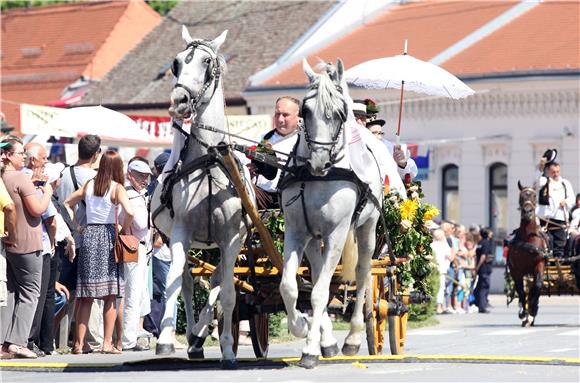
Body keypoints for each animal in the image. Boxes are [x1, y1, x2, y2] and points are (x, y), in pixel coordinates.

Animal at [150, 26, 254, 368]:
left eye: (207, 63)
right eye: (176, 62)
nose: (179, 100)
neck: (211, 161)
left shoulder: (231, 238)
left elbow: (229, 293)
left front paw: (228, 349)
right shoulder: (180, 234)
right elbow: (173, 284)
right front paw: (166, 339)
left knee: (219, 281)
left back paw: (200, 335)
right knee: (187, 282)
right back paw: (193, 339)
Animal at [278, 59, 382, 368]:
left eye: (338, 113)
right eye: (305, 111)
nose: (319, 162)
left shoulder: (337, 234)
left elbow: (321, 292)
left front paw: (310, 349)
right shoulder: (297, 231)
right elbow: (290, 286)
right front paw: (301, 326)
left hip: (367, 229)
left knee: (362, 274)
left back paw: (353, 338)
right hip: (314, 239)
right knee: (315, 271)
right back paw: (326, 339)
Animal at [508, 182, 548, 328]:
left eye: (535, 196)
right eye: (521, 196)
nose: (527, 212)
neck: (528, 239)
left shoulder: (539, 264)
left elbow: (537, 286)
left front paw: (532, 311)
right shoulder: (516, 270)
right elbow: (520, 290)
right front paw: (523, 313)